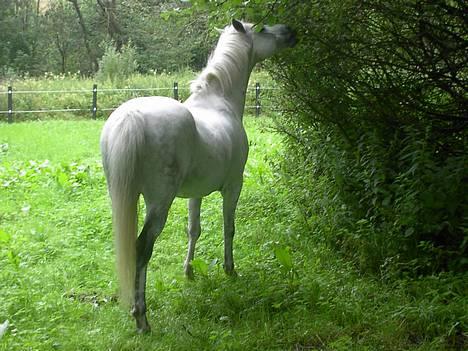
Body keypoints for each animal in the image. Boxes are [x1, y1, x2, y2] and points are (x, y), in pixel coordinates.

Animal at [99, 19, 296, 332]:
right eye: (263, 28)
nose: (291, 32)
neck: (218, 100)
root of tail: (132, 117)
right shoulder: (233, 186)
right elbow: (229, 228)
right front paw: (230, 270)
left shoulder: (196, 194)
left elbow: (194, 230)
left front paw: (189, 271)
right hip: (159, 203)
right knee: (142, 248)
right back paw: (142, 318)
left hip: (122, 196)